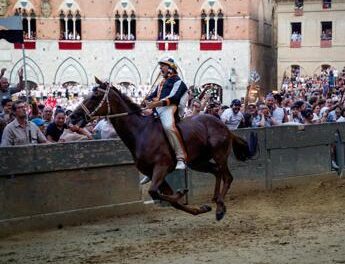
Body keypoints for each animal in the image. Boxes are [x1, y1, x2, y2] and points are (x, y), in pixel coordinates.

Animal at [69, 78, 255, 221]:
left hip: (219, 154)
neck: (140, 132)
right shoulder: (153, 173)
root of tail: (224, 126)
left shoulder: (161, 167)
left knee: (228, 177)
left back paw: (220, 207)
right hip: (198, 162)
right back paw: (216, 201)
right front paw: (198, 208)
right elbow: (168, 199)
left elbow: (155, 192)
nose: (73, 116)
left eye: (95, 96)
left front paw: (182, 192)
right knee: (216, 172)